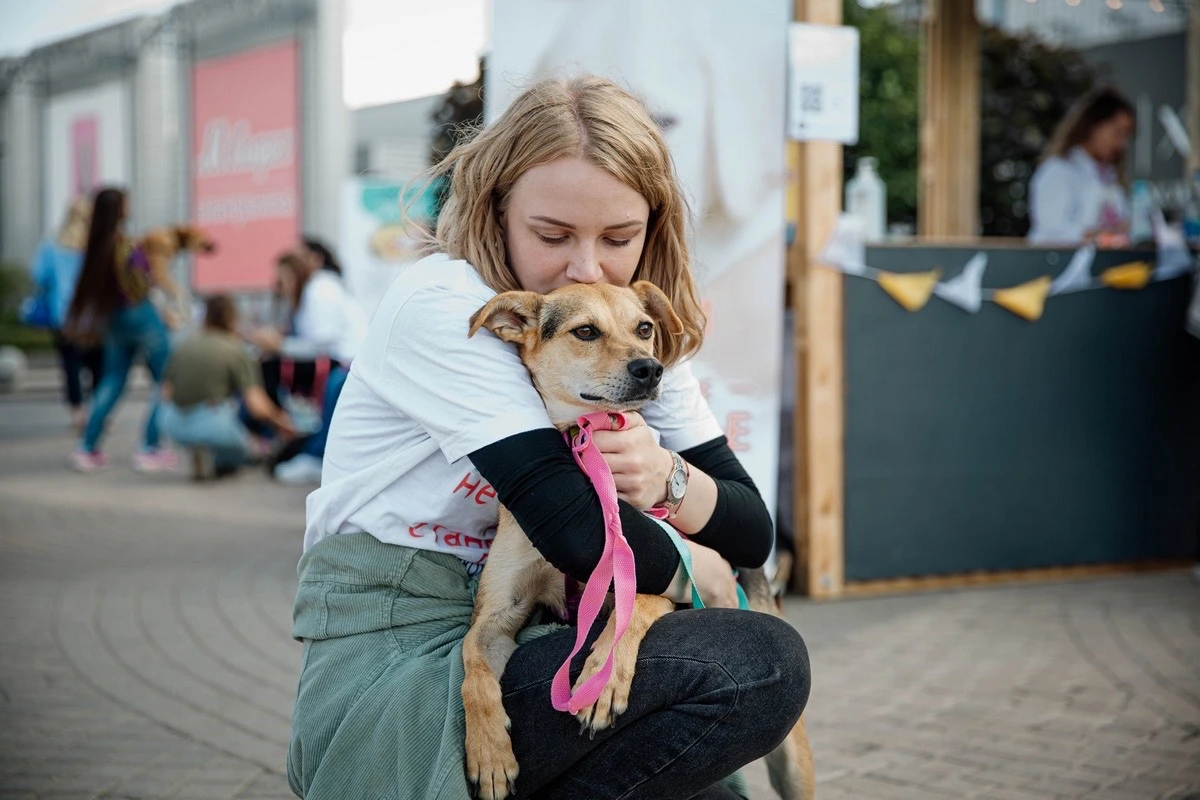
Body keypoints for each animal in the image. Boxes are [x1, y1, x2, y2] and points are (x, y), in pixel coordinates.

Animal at [458, 281, 816, 800]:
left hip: (792, 760)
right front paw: (488, 749)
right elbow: (472, 662)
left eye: (644, 328)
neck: (587, 452)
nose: (651, 368)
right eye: (586, 331)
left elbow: (633, 606)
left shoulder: (648, 570)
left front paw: (603, 678)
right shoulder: (499, 612)